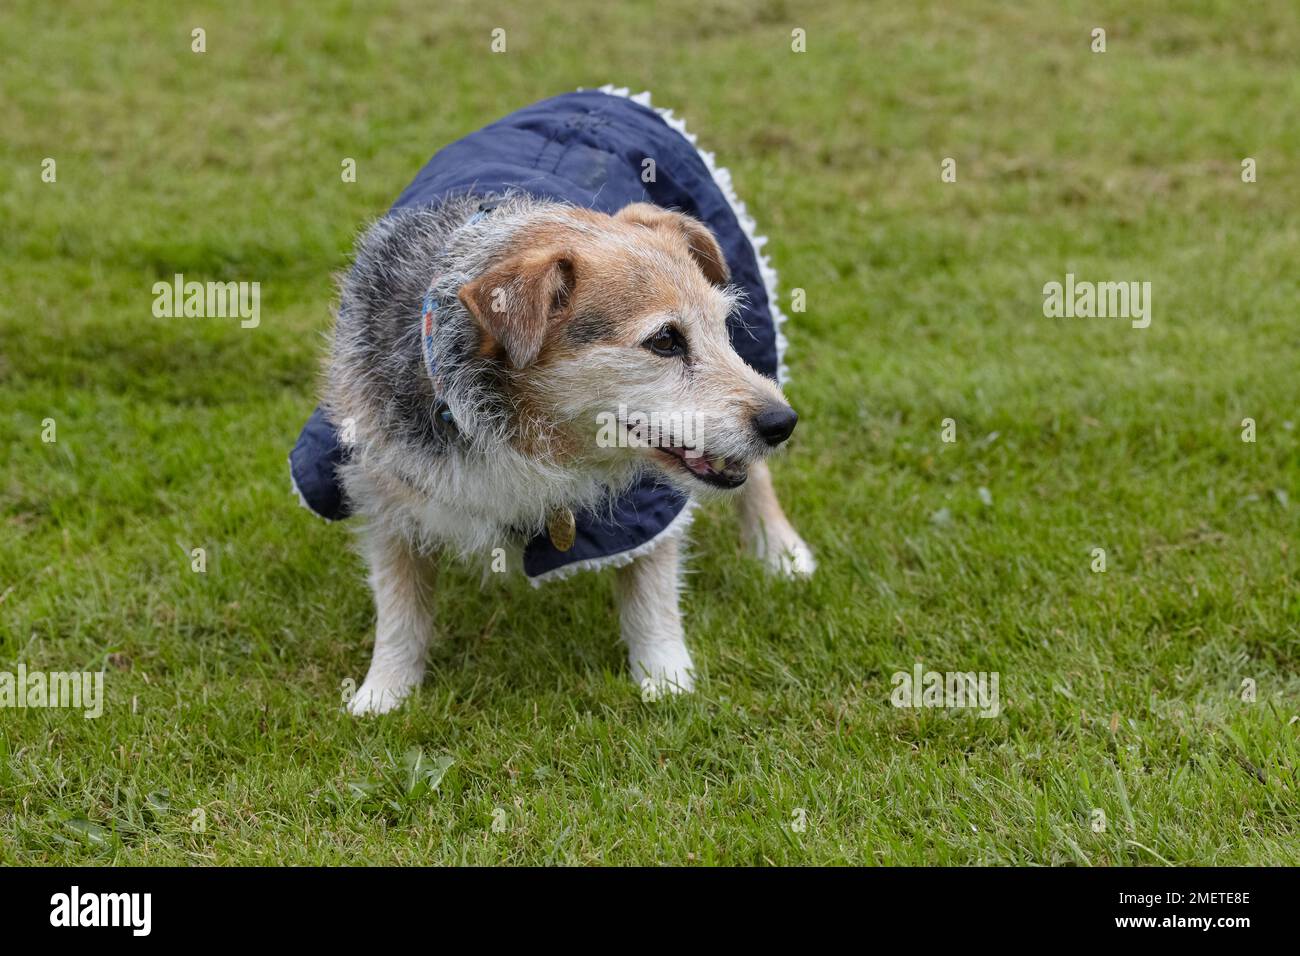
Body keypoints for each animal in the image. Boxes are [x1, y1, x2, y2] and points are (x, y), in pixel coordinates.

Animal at [295, 89, 811, 712]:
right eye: (665, 340)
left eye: (721, 328)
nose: (783, 423)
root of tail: (593, 96)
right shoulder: (379, 486)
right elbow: (400, 607)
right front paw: (384, 696)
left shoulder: (645, 510)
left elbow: (651, 592)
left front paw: (666, 681)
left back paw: (779, 550)